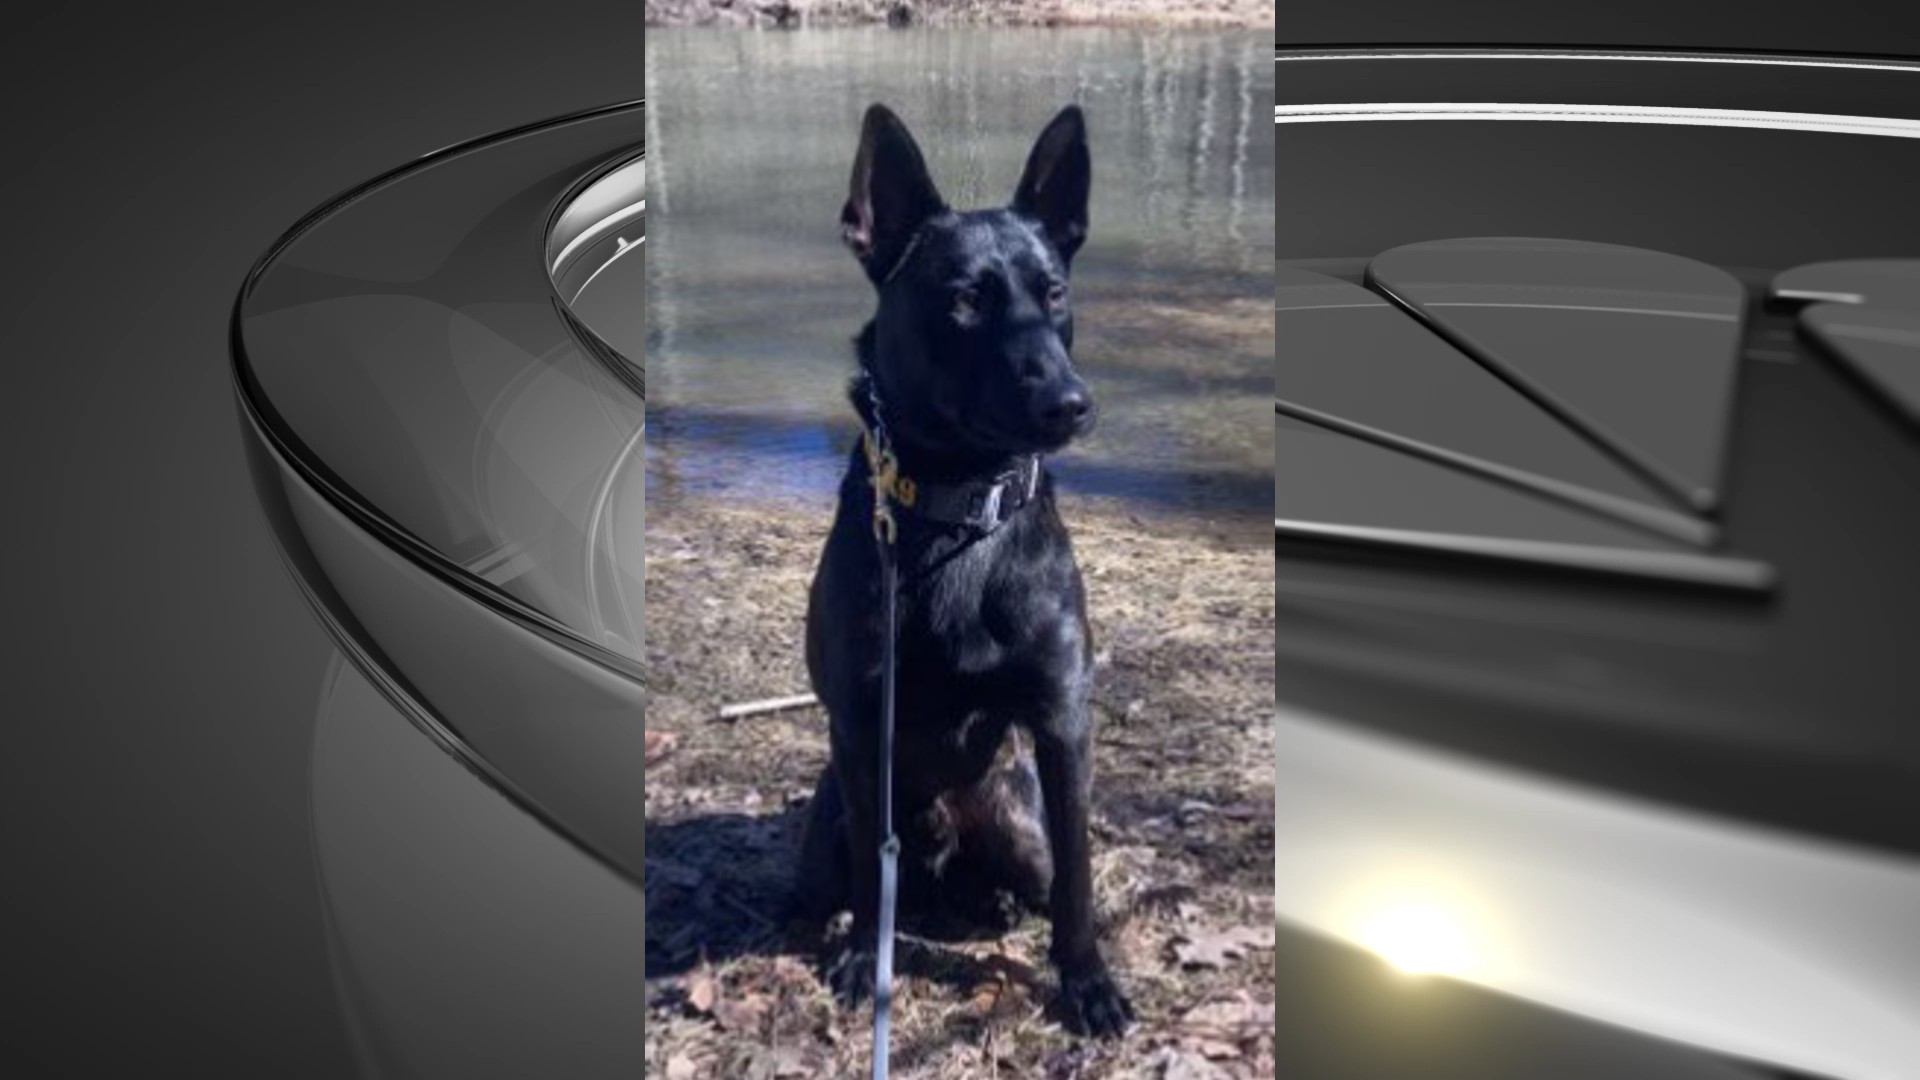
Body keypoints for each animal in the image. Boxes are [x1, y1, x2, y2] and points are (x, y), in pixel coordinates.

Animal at [794, 102, 1134, 1039]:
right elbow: (871, 872)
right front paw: (858, 958)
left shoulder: (1062, 723)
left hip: (1018, 823)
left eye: (1054, 293)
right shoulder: (861, 725)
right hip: (822, 830)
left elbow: (1079, 881)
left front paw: (1086, 982)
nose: (1071, 404)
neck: (960, 506)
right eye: (963, 301)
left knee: (1035, 881)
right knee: (843, 879)